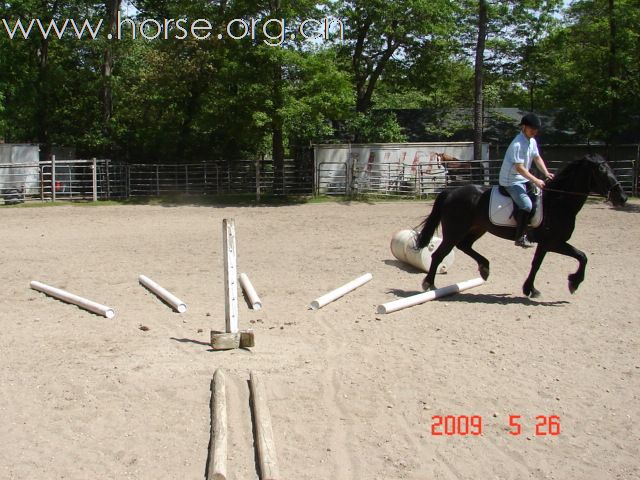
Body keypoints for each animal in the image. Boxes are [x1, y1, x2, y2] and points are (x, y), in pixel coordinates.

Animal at [416, 155, 632, 296]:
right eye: (602, 172)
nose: (622, 198)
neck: (558, 202)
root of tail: (451, 192)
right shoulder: (553, 242)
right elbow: (580, 257)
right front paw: (573, 283)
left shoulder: (548, 243)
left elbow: (543, 263)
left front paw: (531, 288)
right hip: (455, 230)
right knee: (439, 254)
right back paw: (429, 284)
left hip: (477, 229)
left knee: (464, 246)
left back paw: (485, 268)